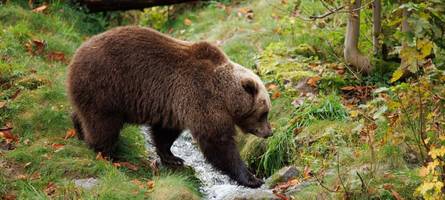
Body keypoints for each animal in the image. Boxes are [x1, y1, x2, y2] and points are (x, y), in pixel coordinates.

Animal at [67, 25, 272, 188]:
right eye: (264, 113)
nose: (269, 132)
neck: (226, 97)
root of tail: (76, 54)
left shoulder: (174, 104)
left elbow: (165, 133)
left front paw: (173, 158)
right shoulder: (202, 97)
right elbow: (218, 142)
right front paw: (251, 178)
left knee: (84, 114)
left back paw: (79, 130)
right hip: (106, 86)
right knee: (103, 124)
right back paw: (107, 153)